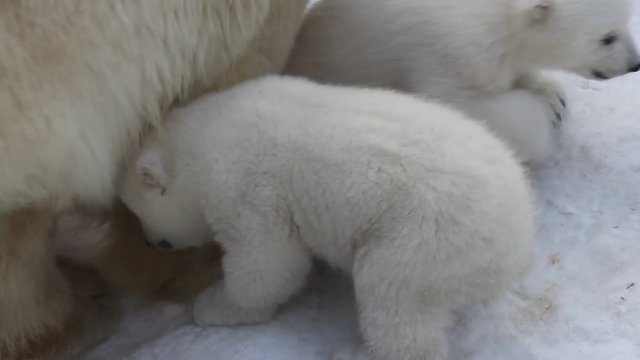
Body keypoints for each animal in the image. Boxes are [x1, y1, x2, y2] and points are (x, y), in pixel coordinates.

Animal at [288, 0, 640, 165]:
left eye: (626, 22)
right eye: (606, 38)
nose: (634, 64)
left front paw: (552, 96)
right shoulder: (455, 52)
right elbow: (458, 106)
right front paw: (542, 118)